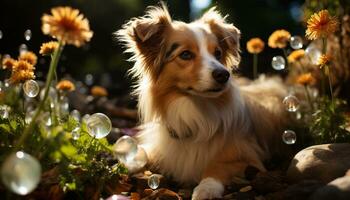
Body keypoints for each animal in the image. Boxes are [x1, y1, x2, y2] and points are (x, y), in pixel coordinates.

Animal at [116, 3, 288, 199]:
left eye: (218, 53)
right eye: (185, 55)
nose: (224, 75)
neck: (194, 109)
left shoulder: (248, 157)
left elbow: (217, 167)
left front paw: (207, 188)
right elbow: (142, 151)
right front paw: (126, 161)